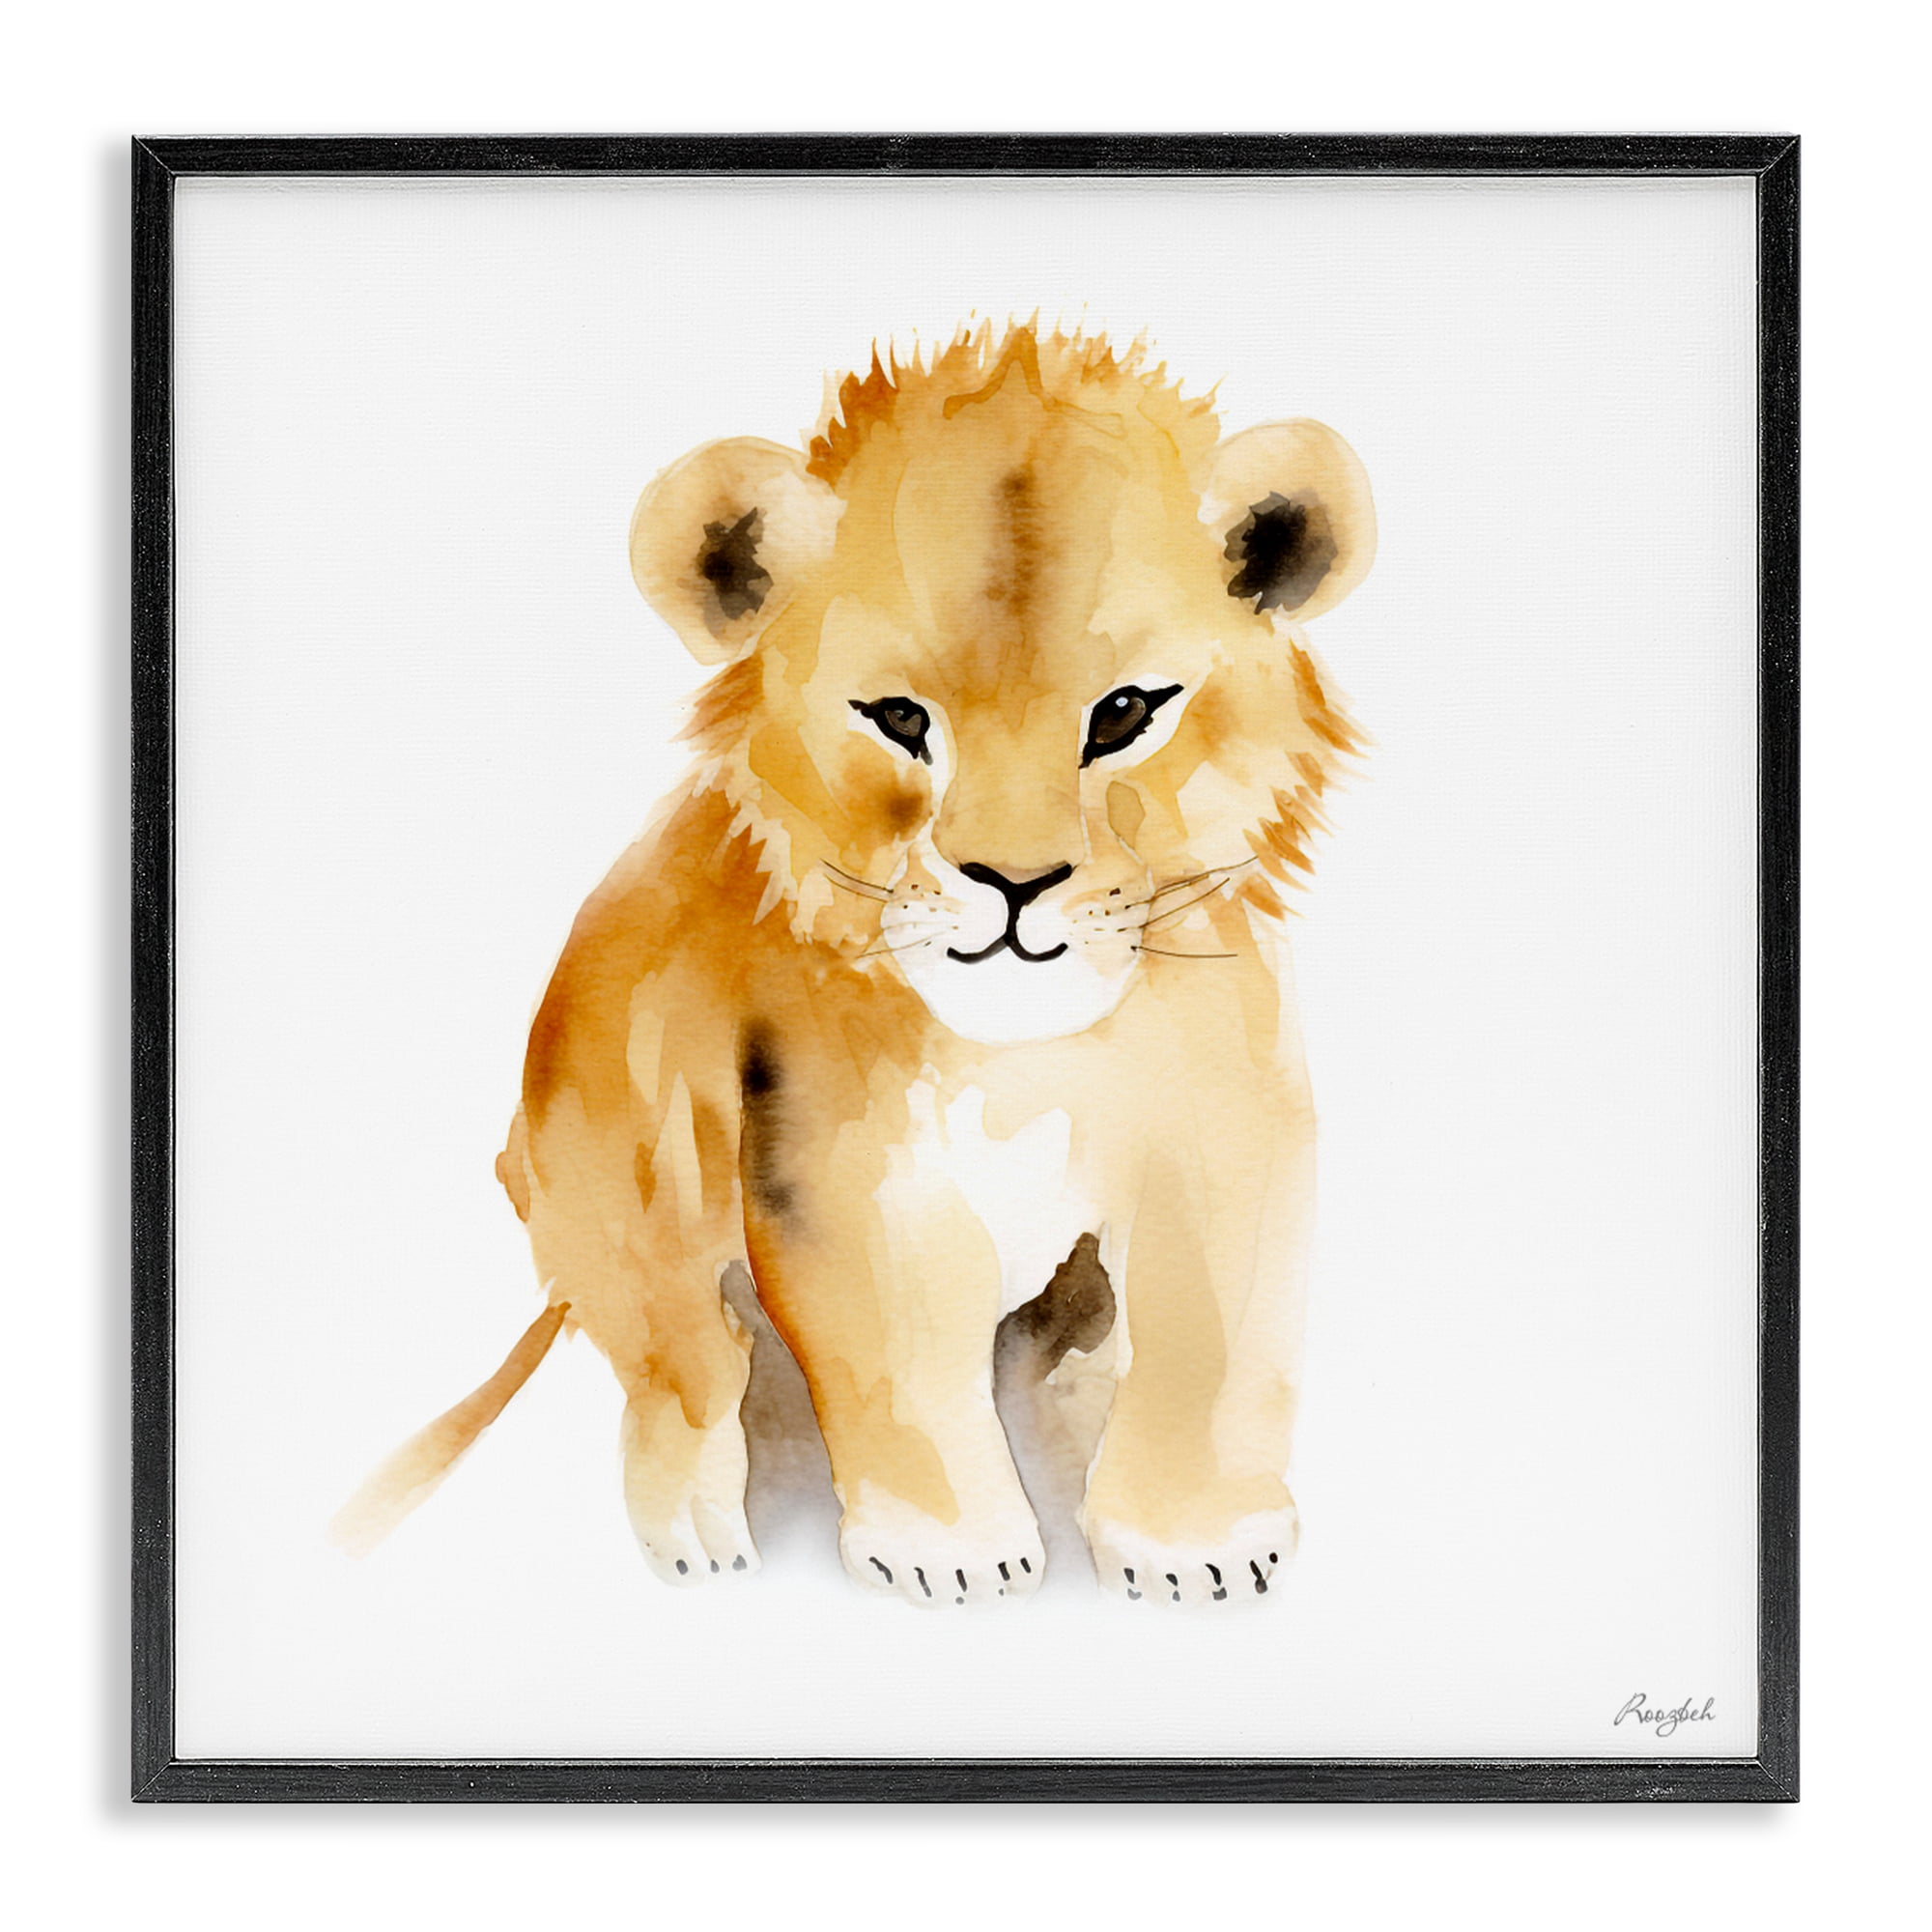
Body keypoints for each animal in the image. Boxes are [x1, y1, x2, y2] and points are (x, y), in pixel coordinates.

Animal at [334, 322, 1374, 1608]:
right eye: (899, 719)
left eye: (1125, 712)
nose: (1014, 882)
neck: (1029, 1052)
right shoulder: (838, 1165)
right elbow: (899, 1356)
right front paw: (954, 1552)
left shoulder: (1225, 1125)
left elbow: (1210, 1335)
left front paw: (1194, 1542)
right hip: (610, 1149)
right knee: (681, 1359)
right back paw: (695, 1524)